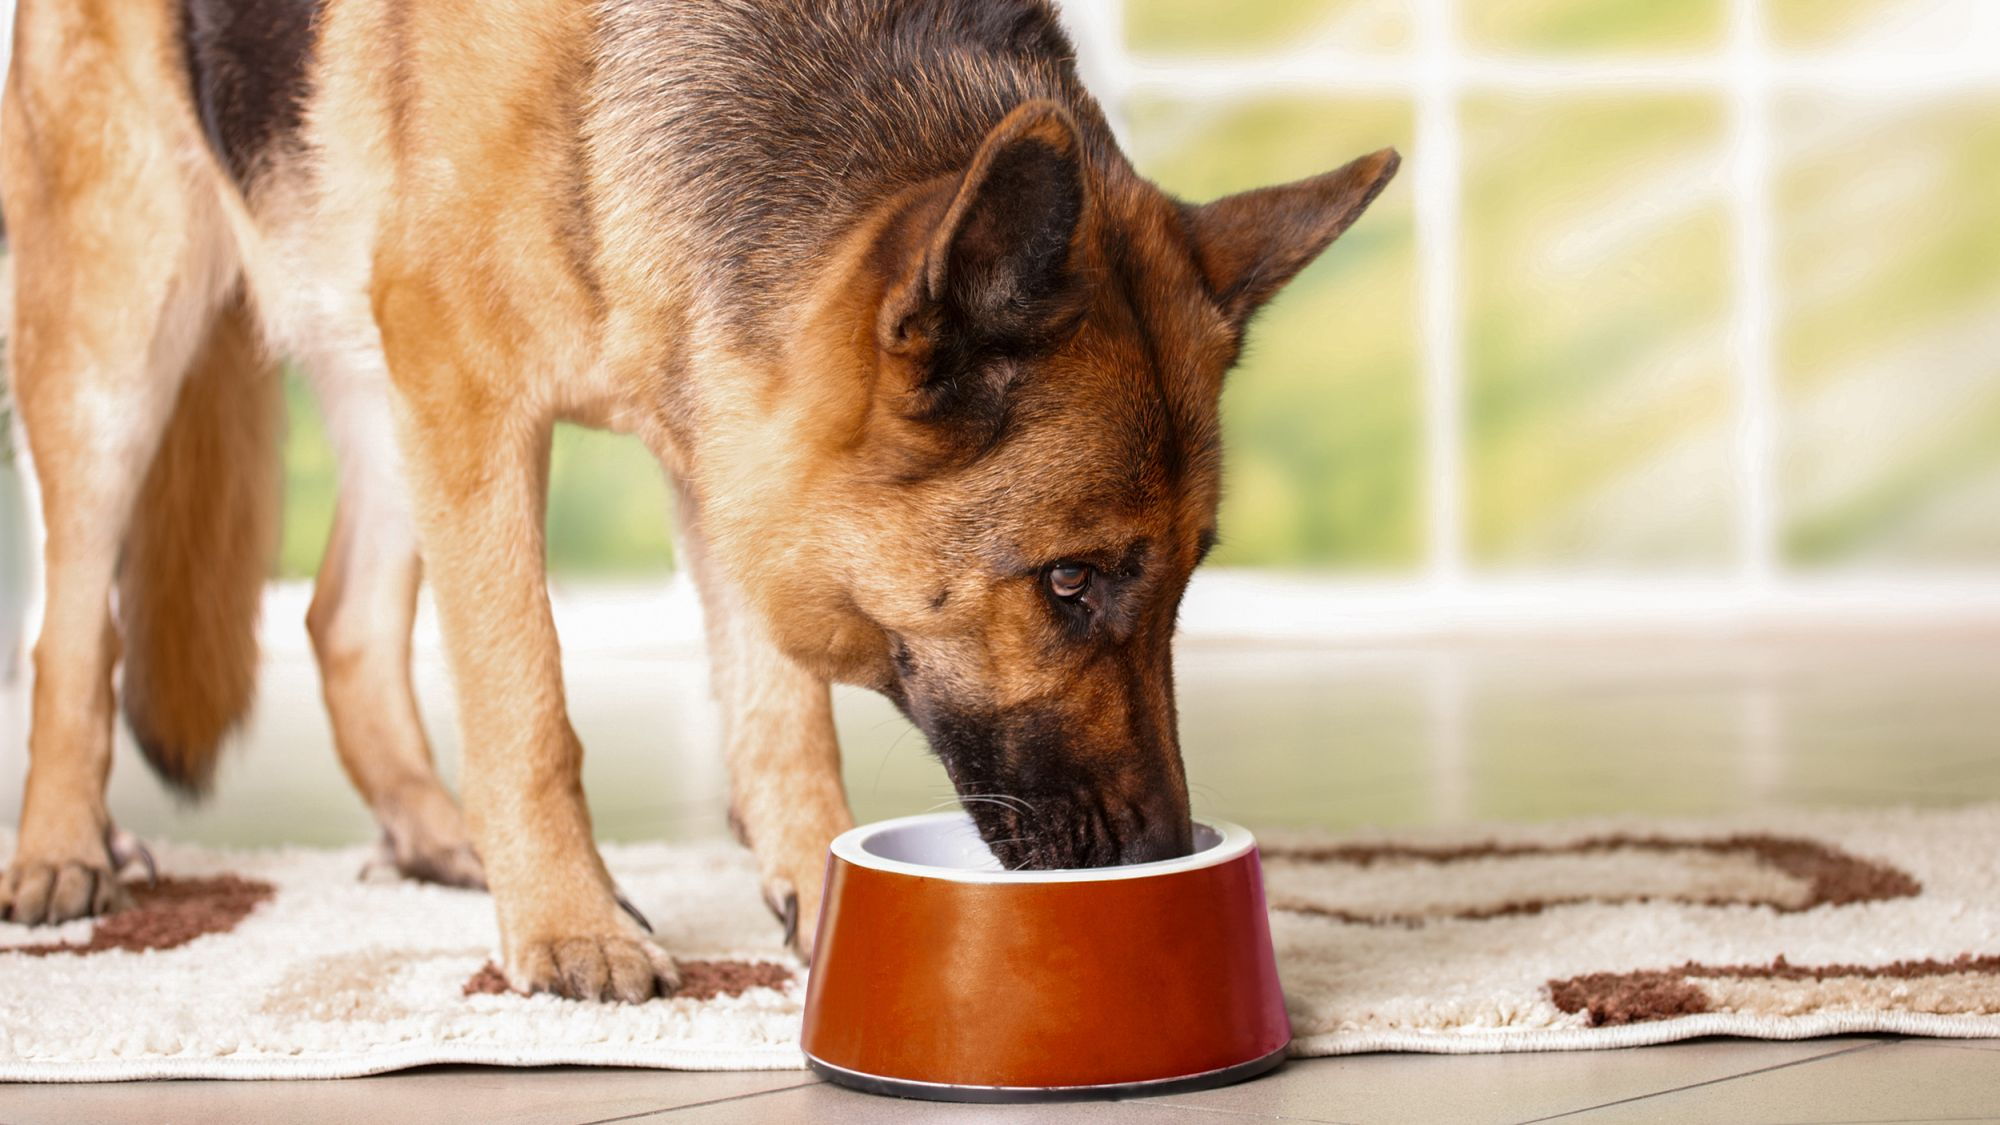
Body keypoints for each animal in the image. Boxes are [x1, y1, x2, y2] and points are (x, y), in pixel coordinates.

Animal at [3, 0, 1392, 996]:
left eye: (1183, 581)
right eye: (1067, 581)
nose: (1163, 856)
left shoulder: (729, 431)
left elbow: (780, 716)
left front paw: (822, 902)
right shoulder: (477, 397)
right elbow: (524, 697)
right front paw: (567, 926)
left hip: (380, 391)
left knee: (337, 619)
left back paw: (433, 831)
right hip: (129, 330)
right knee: (74, 622)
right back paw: (66, 848)